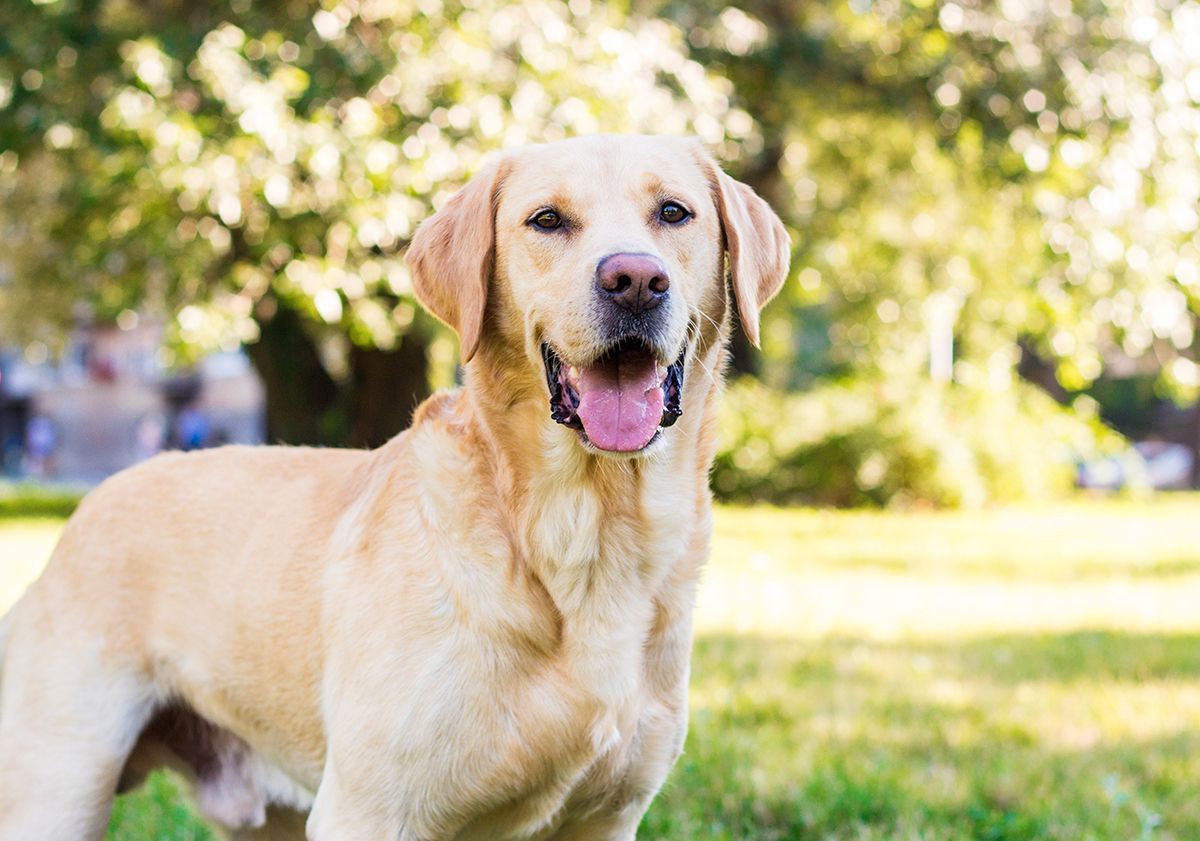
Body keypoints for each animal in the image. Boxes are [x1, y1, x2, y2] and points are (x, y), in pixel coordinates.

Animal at [0, 134, 787, 835]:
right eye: (547, 220)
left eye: (674, 212)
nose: (635, 280)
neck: (583, 532)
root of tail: (88, 506)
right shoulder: (369, 812)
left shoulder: (606, 819)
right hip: (58, 789)